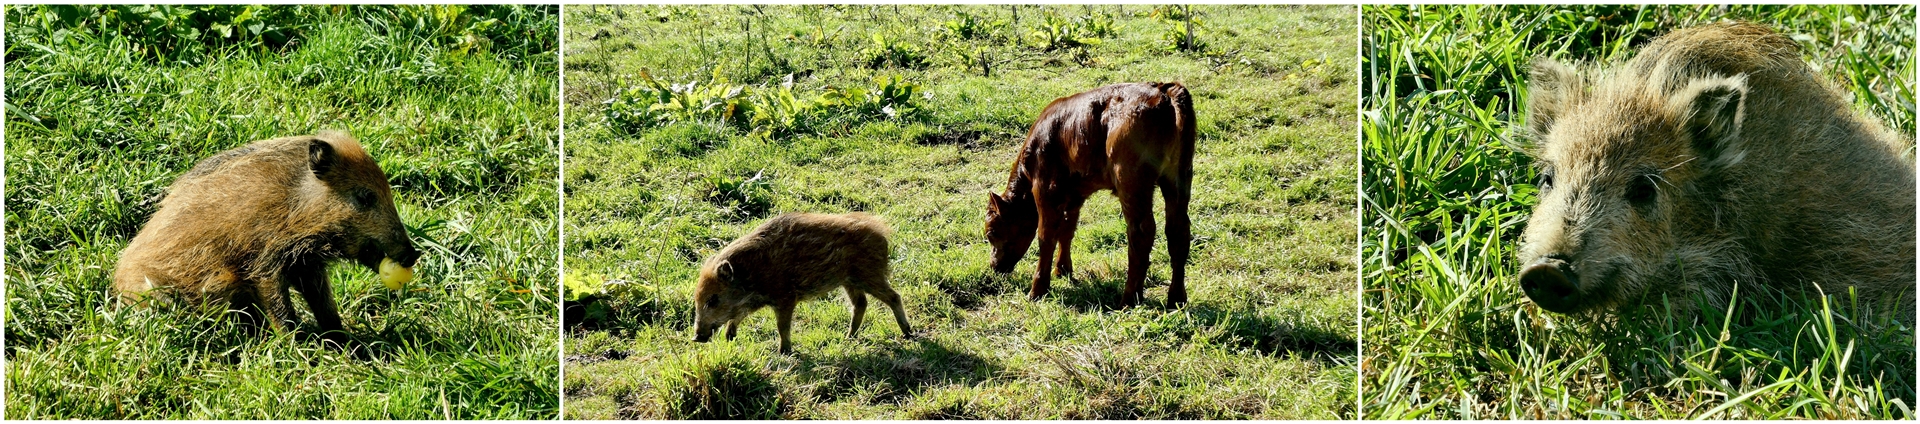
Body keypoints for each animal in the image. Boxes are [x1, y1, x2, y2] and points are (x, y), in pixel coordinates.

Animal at [983, 82, 1190, 308]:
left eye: (991, 233)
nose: (994, 266)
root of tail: (1163, 90)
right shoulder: (1076, 193)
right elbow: (1067, 230)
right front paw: (1062, 270)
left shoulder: (1045, 189)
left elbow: (1046, 236)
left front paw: (1037, 290)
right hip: (1178, 179)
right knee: (1178, 231)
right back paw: (1176, 299)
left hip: (1132, 183)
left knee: (1141, 232)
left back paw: (1128, 300)